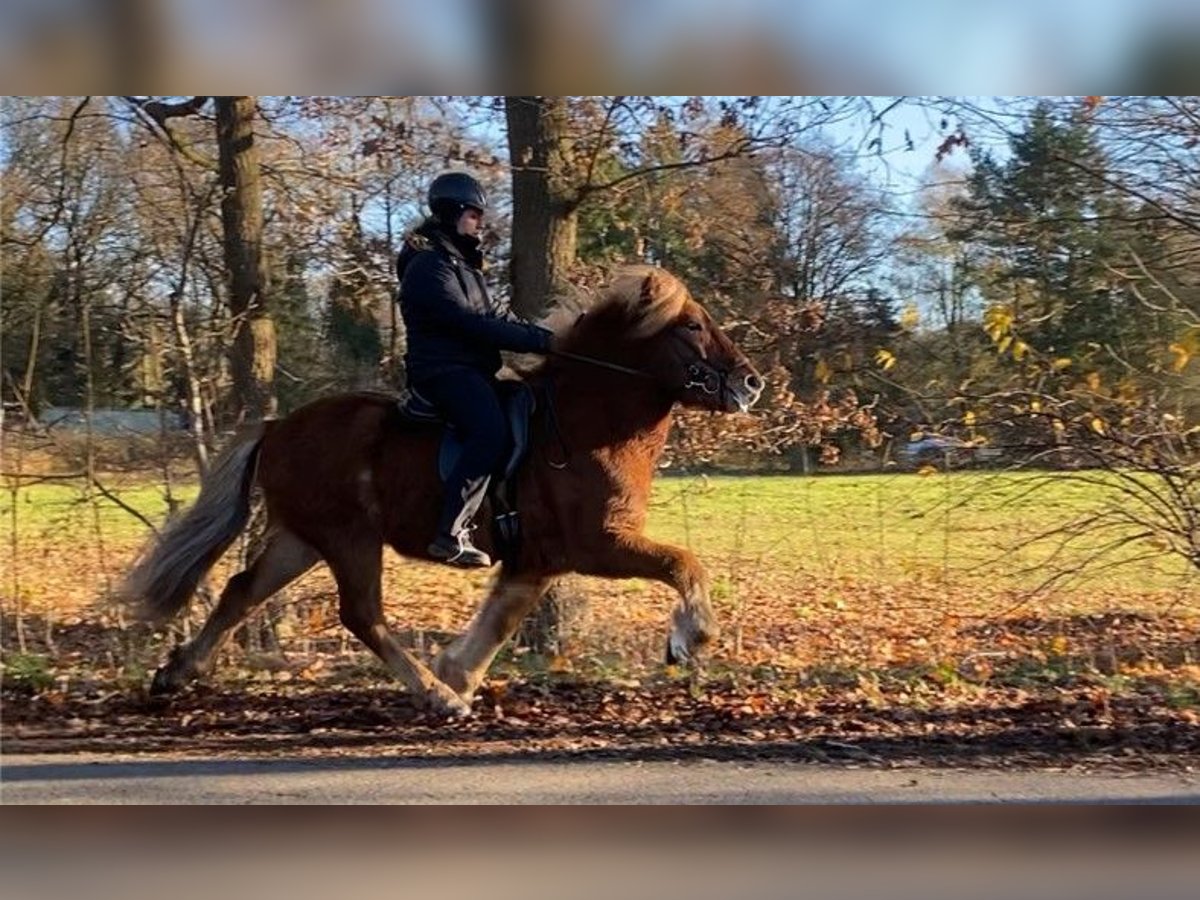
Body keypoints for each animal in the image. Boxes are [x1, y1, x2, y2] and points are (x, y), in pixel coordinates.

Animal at [119, 266, 758, 720]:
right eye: (692, 326)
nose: (752, 384)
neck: (585, 422)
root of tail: (277, 427)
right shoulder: (599, 545)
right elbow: (684, 564)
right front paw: (689, 640)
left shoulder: (539, 560)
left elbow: (500, 620)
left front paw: (458, 672)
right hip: (349, 538)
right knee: (362, 615)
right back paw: (434, 698)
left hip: (301, 539)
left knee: (240, 592)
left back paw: (176, 674)